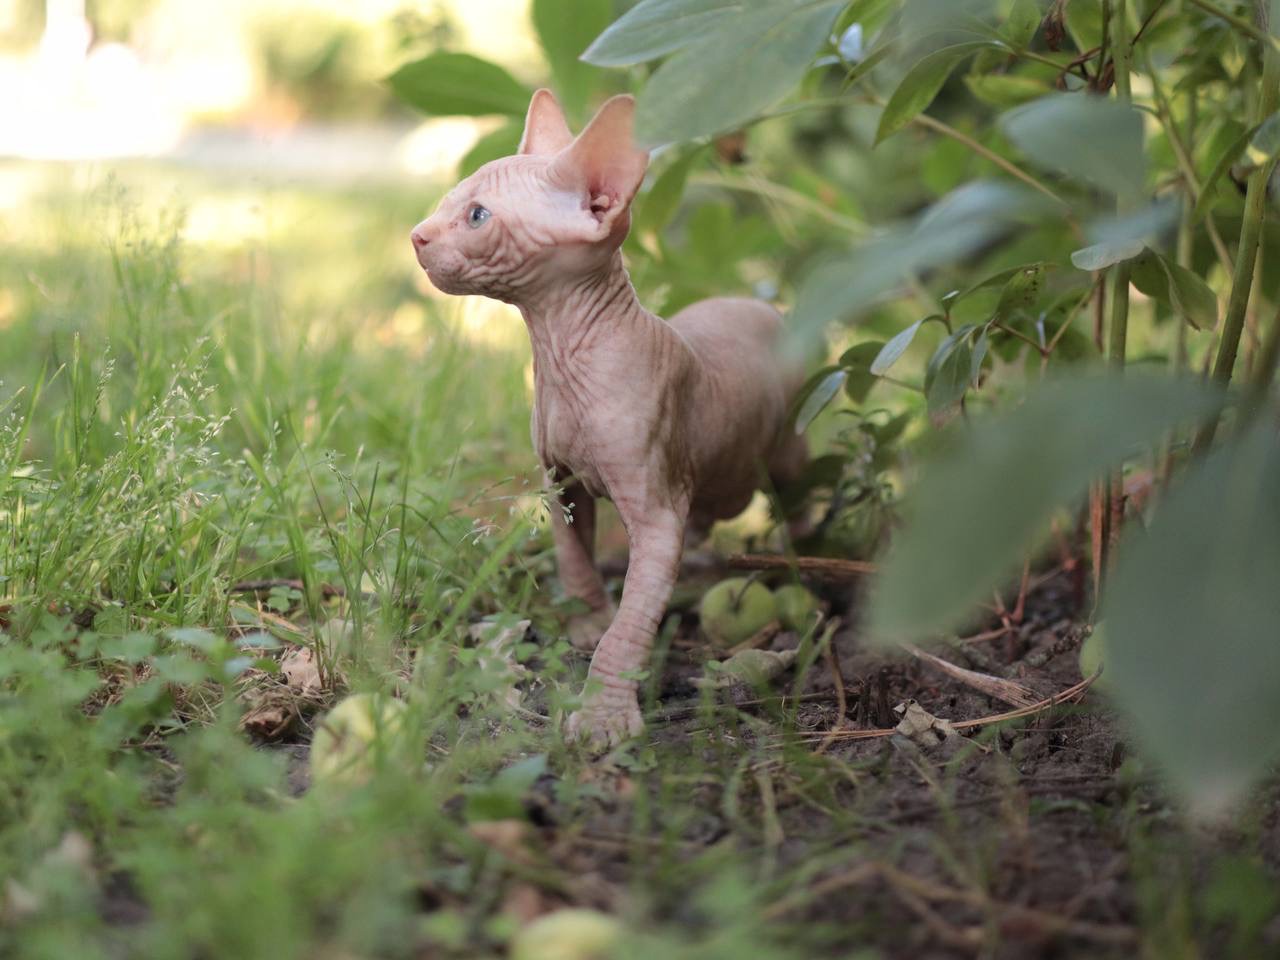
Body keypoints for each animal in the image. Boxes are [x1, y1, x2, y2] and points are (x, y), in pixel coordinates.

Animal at [414, 90, 803, 747]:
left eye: (477, 216)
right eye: (448, 203)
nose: (415, 236)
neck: (561, 355)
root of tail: (759, 301)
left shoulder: (656, 510)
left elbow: (634, 620)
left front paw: (603, 716)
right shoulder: (560, 481)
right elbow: (574, 560)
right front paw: (588, 622)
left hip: (791, 448)